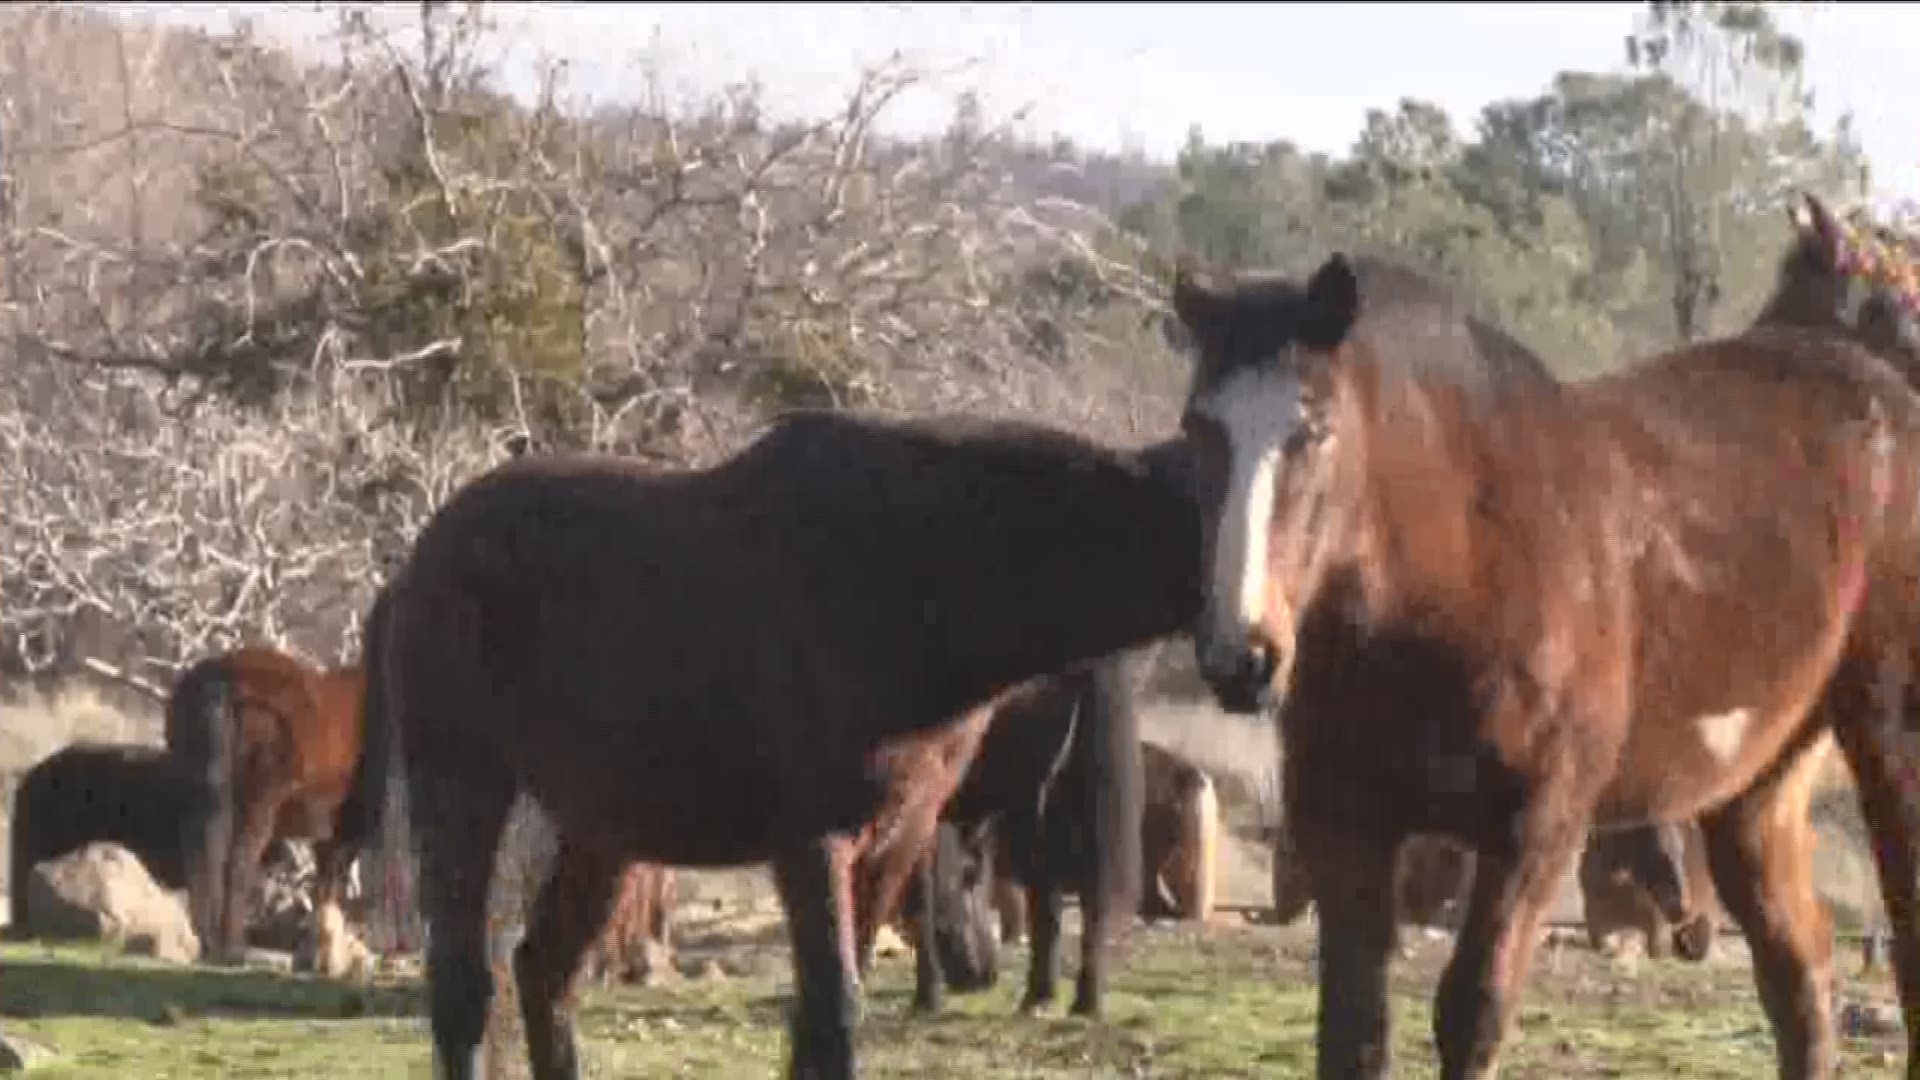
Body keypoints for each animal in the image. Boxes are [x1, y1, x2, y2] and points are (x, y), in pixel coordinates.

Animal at [167, 641, 368, 972]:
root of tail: (223, 671)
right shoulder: (346, 829)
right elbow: (332, 885)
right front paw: (327, 957)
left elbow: (323, 886)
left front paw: (315, 955)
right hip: (259, 801)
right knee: (238, 862)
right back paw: (232, 951)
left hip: (197, 790)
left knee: (198, 854)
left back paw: (208, 943)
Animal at [341, 409, 1198, 1076]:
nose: (983, 970)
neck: (908, 567)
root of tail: (413, 571)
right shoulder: (811, 844)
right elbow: (834, 1015)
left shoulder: (891, 841)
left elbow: (823, 1018)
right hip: (463, 790)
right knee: (465, 988)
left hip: (601, 833)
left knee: (544, 974)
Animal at [1167, 228, 1920, 1076]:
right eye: (1198, 429)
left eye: (1314, 429)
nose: (1242, 654)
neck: (1457, 572)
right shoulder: (1345, 826)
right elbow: (1354, 1033)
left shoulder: (1535, 829)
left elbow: (1473, 1012)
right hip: (1755, 794)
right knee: (1802, 979)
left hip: (1891, 745)